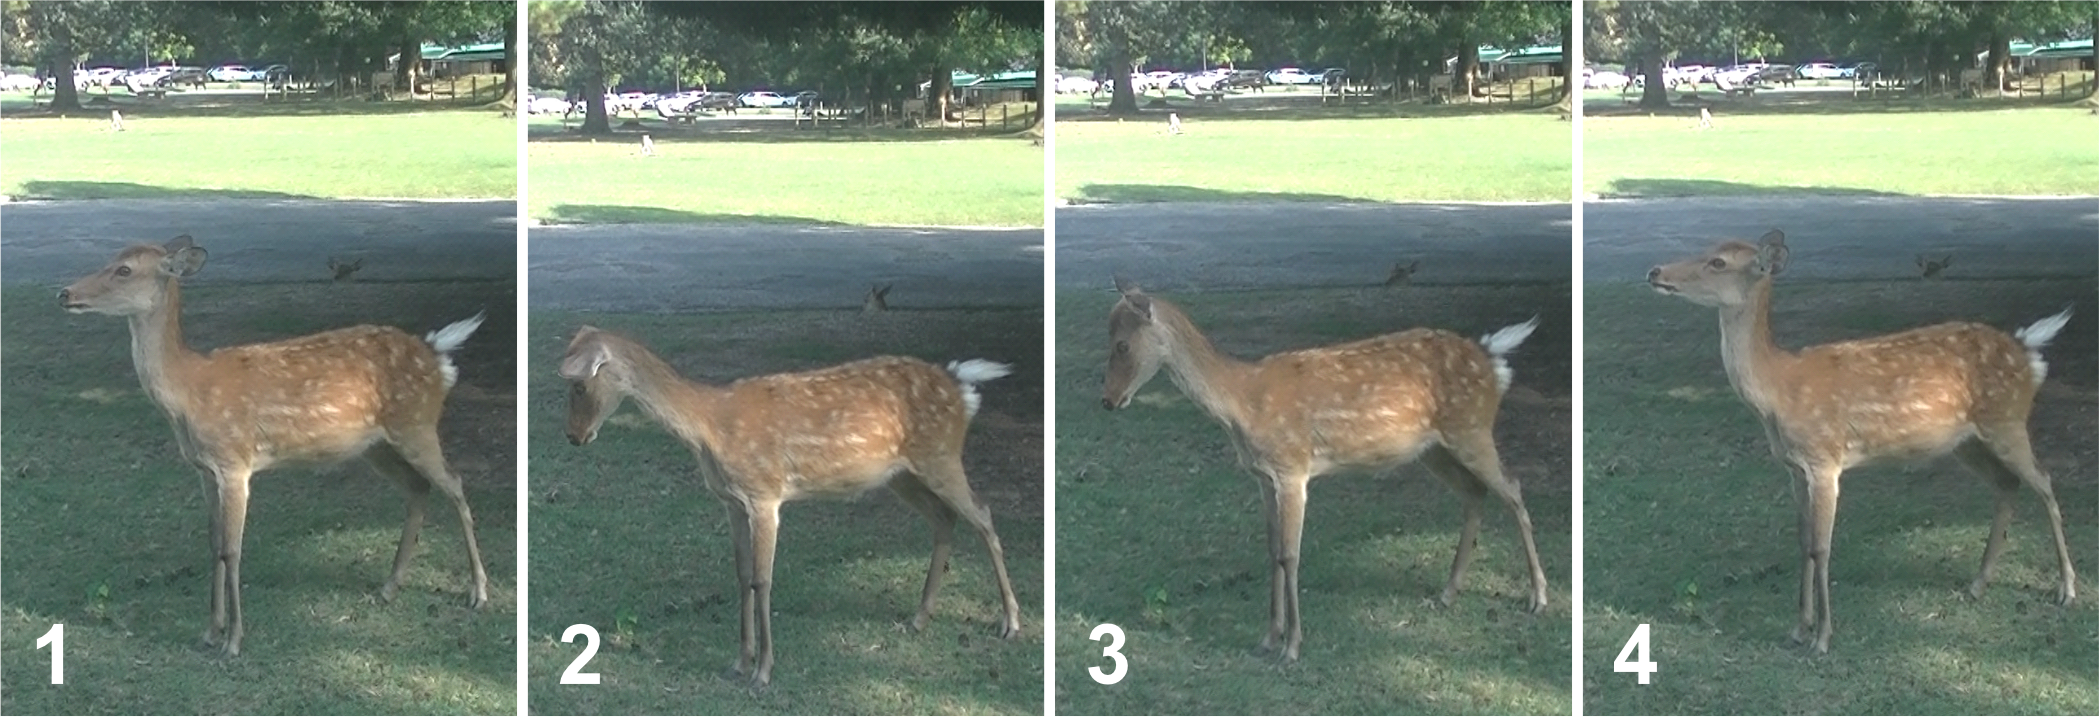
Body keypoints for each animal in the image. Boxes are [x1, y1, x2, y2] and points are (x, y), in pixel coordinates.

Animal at [58, 234, 492, 657]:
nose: (65, 293)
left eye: (124, 270)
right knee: (418, 488)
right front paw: (210, 631)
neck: (188, 393)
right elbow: (213, 544)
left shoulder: (235, 462)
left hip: (417, 424)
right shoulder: (203, 469)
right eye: (112, 259)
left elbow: (232, 550)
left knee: (454, 484)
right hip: (376, 446)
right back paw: (389, 587)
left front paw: (234, 640)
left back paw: (479, 591)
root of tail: (436, 355)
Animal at [557, 326, 1023, 687]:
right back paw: (920, 617)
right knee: (945, 519)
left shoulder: (764, 493)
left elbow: (762, 580)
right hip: (901, 475)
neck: (709, 428)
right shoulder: (731, 501)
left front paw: (763, 672)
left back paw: (1011, 623)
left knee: (983, 514)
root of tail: (961, 385)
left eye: (579, 385)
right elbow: (741, 575)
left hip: (940, 455)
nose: (574, 437)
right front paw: (738, 663)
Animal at [1100, 277, 1549, 662]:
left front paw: (1292, 646)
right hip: (1433, 449)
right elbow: (1272, 551)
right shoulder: (1263, 477)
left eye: (1121, 345)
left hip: (1471, 428)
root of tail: (1491, 358)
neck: (1243, 404)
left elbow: (1290, 555)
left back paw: (1538, 598)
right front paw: (1268, 638)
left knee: (1513, 488)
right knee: (1476, 493)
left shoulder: (1292, 469)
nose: (1107, 400)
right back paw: (1449, 592)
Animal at [1647, 229, 2076, 654]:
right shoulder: (1793, 467)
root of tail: (2027, 351)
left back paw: (2067, 589)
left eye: (1718, 262)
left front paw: (1822, 637)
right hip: (1966, 442)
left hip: (2007, 420)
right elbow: (1803, 543)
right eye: (1708, 247)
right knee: (2007, 485)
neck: (1778, 392)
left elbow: (1821, 548)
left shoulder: (1824, 459)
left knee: (2044, 482)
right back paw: (1977, 584)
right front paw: (1798, 628)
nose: (1655, 271)